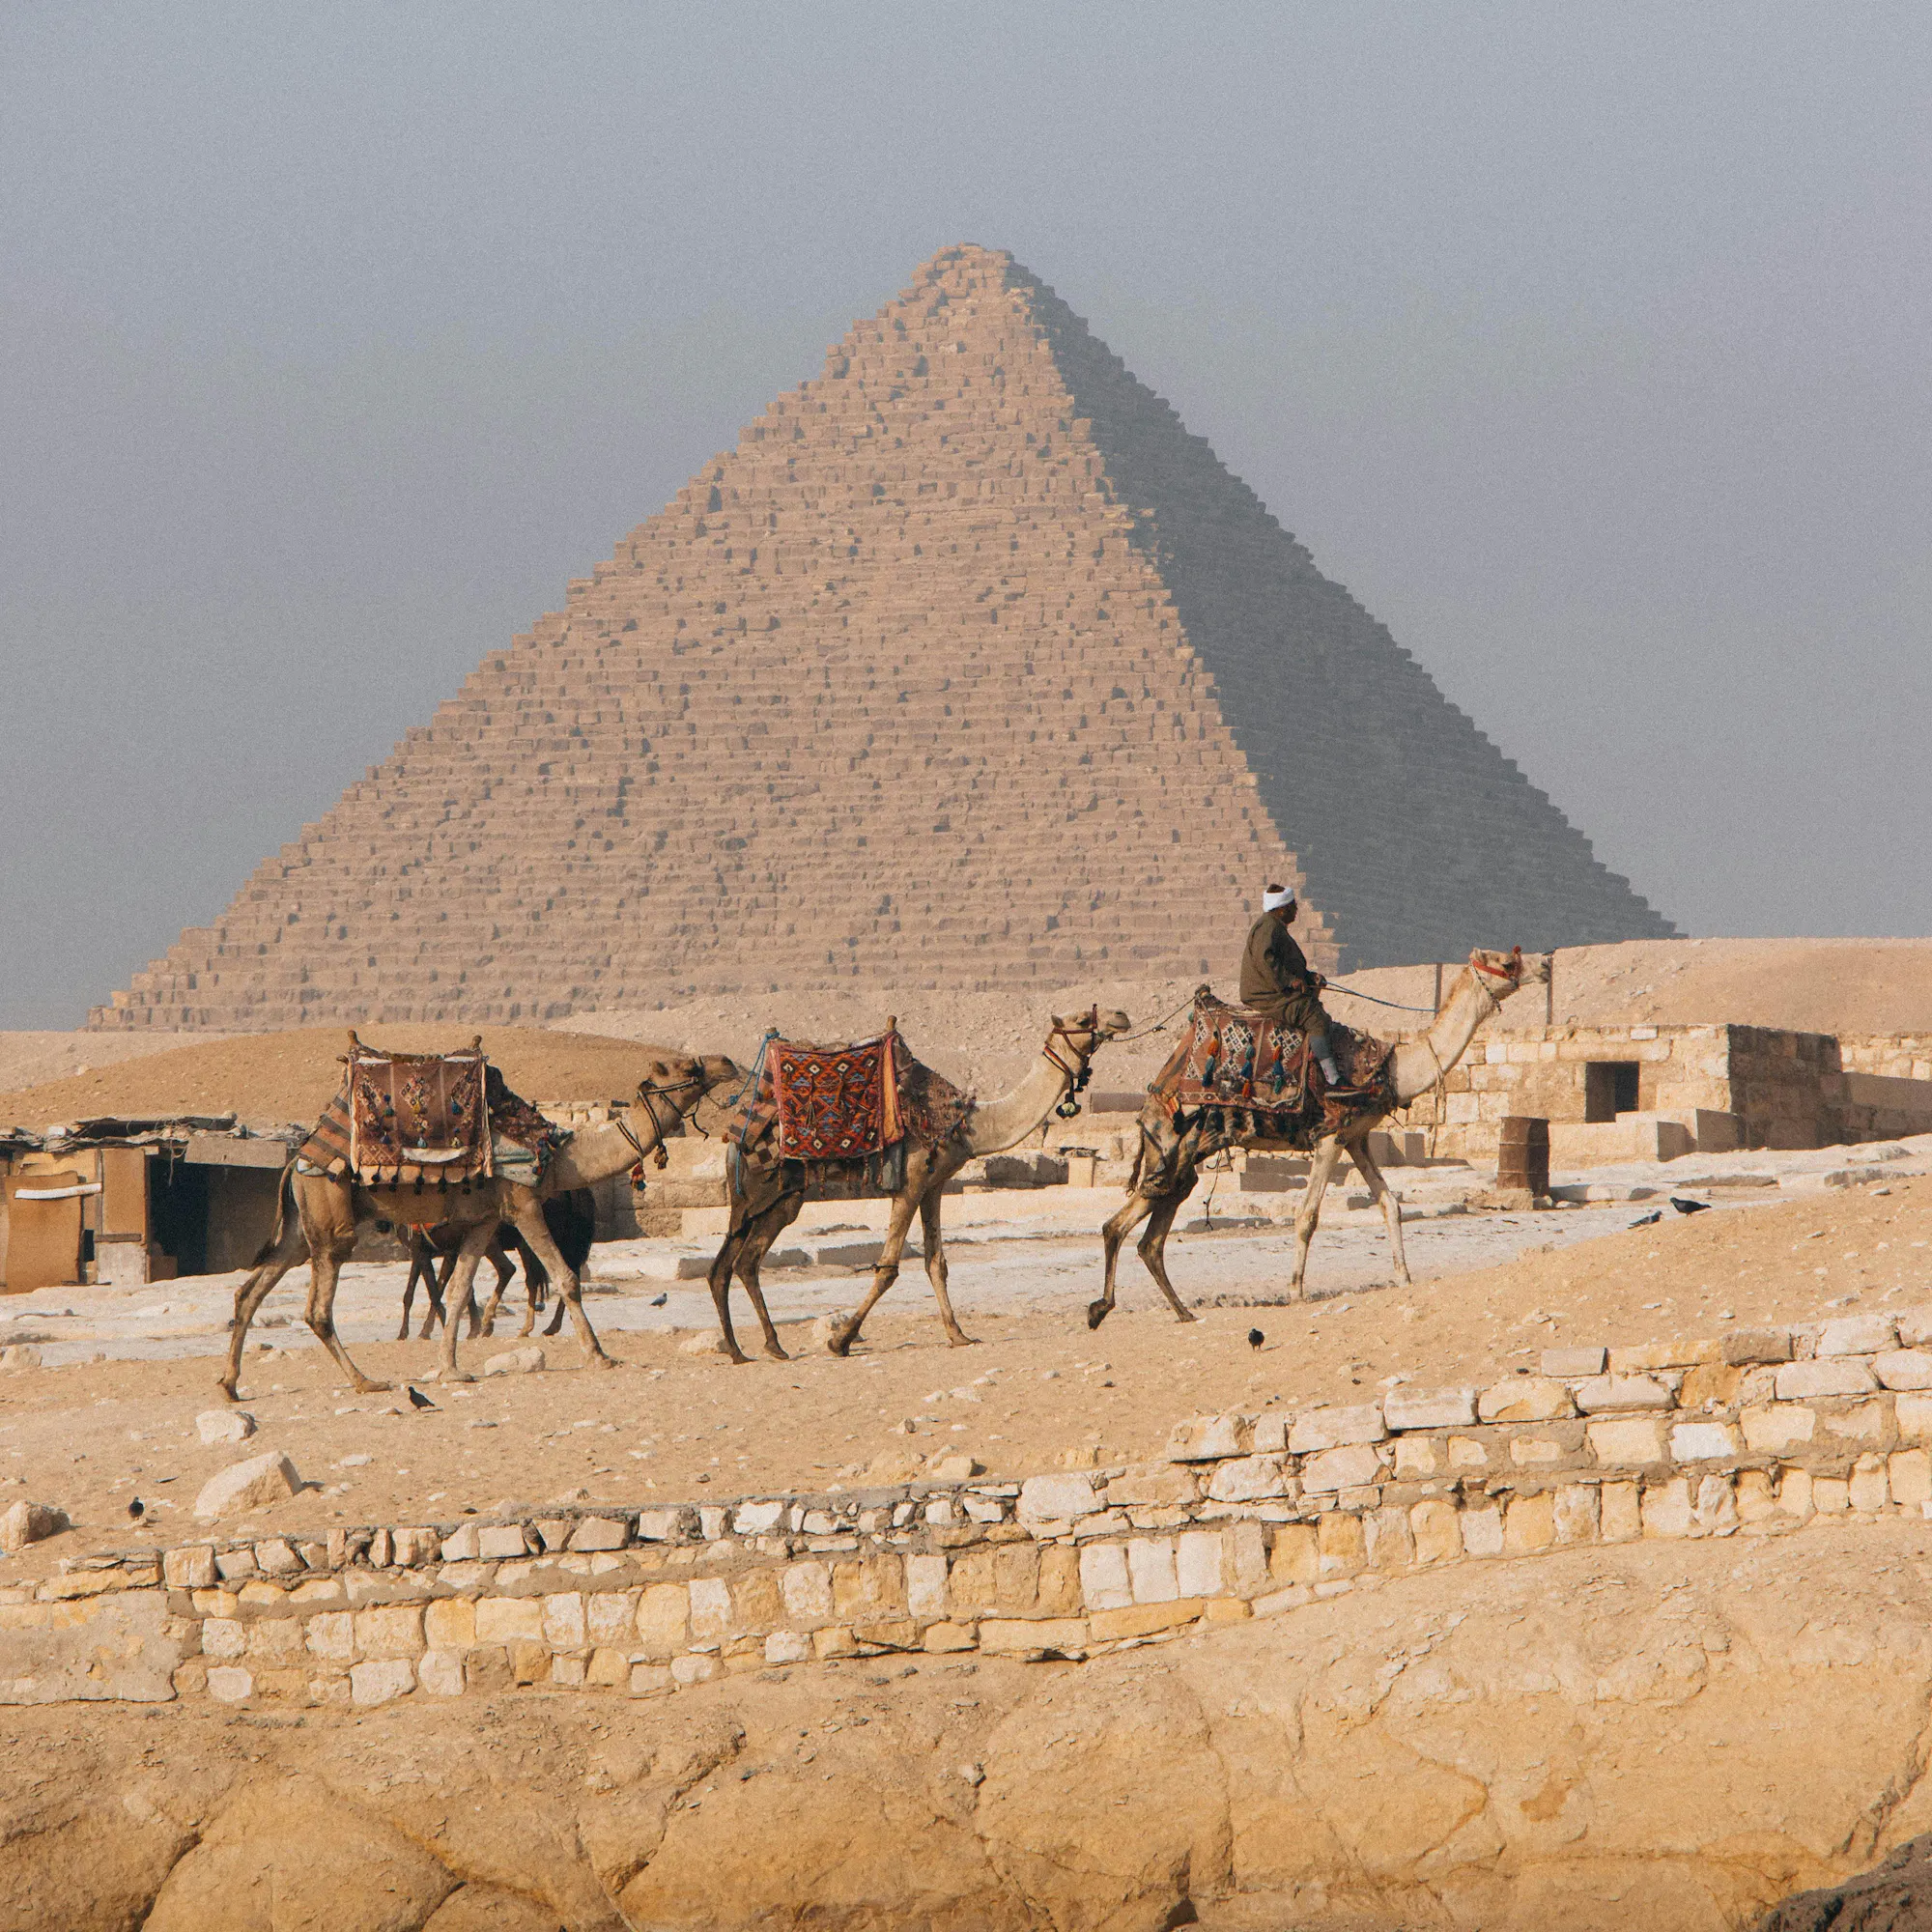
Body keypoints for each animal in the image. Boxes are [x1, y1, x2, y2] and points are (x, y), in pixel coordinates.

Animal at [221, 1052, 740, 1398]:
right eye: (688, 1068)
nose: (728, 1063)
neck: (557, 1156)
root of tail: (296, 1160)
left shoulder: (484, 1220)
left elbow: (458, 1290)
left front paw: (452, 1368)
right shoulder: (522, 1202)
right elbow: (565, 1277)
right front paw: (600, 1356)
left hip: (300, 1225)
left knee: (251, 1290)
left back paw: (230, 1384)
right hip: (330, 1216)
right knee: (317, 1308)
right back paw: (365, 1381)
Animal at [703, 1007, 1131, 1363]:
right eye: (1081, 1018)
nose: (1121, 1017)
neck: (967, 1124)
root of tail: (737, 1130)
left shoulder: (934, 1185)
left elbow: (936, 1262)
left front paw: (959, 1335)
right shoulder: (909, 1185)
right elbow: (888, 1268)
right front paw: (839, 1341)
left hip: (778, 1199)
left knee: (736, 1263)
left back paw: (759, 1349)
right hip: (760, 1191)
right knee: (738, 1261)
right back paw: (754, 1349)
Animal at [1091, 948, 1551, 1325]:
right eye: (1507, 961)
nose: (1545, 965)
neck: (1390, 1068)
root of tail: (1159, 1084)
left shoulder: (1356, 1138)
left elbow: (1389, 1204)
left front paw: (1404, 1277)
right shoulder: (1329, 1136)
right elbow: (1307, 1216)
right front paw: (1295, 1290)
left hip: (1183, 1153)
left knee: (1145, 1232)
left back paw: (1164, 1311)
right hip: (1174, 1141)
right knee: (1130, 1222)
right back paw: (1111, 1307)